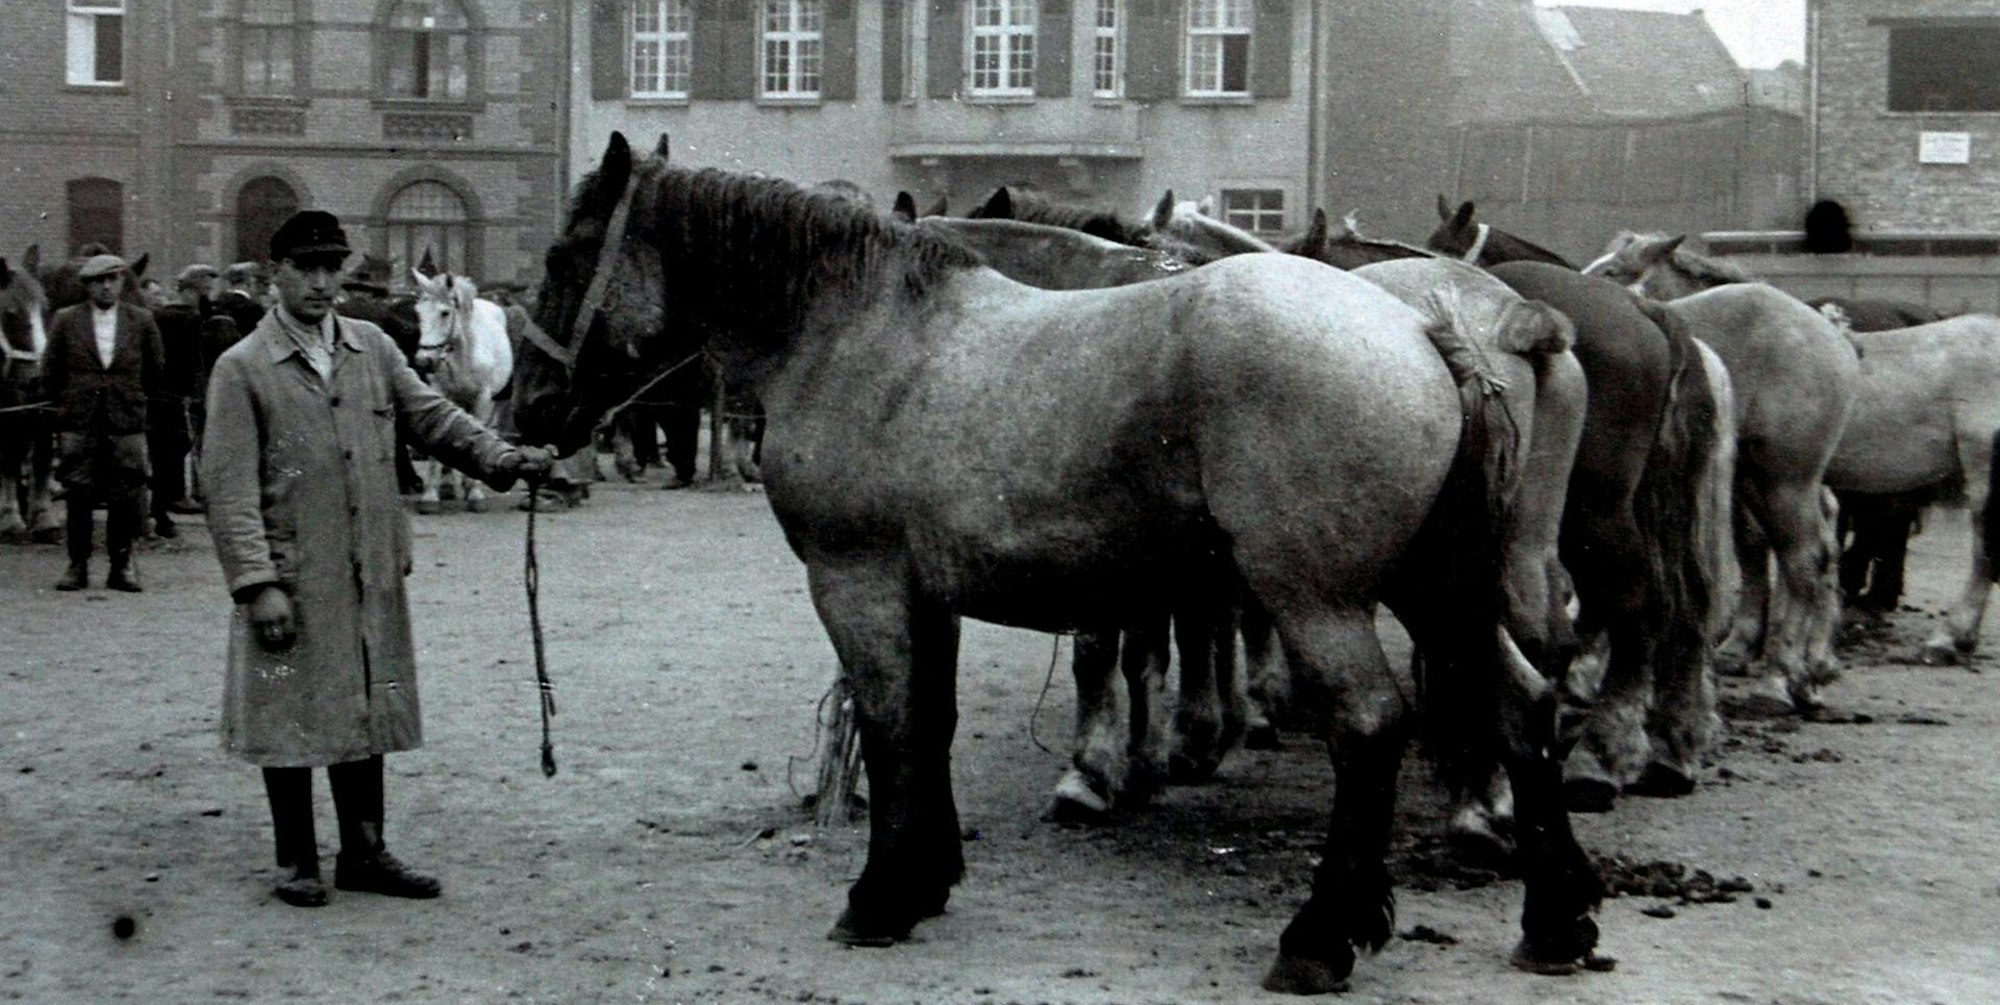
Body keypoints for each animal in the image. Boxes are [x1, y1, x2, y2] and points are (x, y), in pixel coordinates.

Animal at [410, 270, 514, 512]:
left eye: (445, 312)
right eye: (418, 313)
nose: (424, 361)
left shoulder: (482, 399)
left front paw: (475, 495)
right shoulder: (440, 392)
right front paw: (430, 497)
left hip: (496, 403)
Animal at [513, 132, 1605, 994]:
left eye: (566, 254)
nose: (528, 410)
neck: (861, 336)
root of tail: (1425, 323)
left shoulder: (857, 583)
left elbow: (891, 721)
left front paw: (879, 896)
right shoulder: (930, 594)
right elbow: (930, 722)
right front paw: (926, 880)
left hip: (1318, 598)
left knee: (1372, 723)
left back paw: (1320, 937)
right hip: (1437, 590)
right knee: (1517, 704)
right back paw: (1554, 918)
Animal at [1585, 233, 1860, 710]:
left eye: (1613, 270)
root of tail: (1836, 340)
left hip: (1785, 480)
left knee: (1804, 557)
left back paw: (1779, 677)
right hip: (1760, 480)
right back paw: (1801, 670)